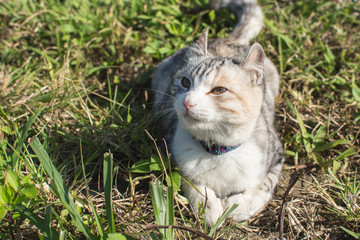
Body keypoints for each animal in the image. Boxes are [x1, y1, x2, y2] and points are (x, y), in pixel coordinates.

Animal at [150, 0, 282, 226]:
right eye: (185, 82)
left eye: (219, 90)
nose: (187, 102)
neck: (218, 150)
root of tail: (228, 40)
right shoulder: (169, 149)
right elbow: (189, 181)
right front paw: (208, 208)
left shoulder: (276, 155)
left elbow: (265, 185)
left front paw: (237, 207)